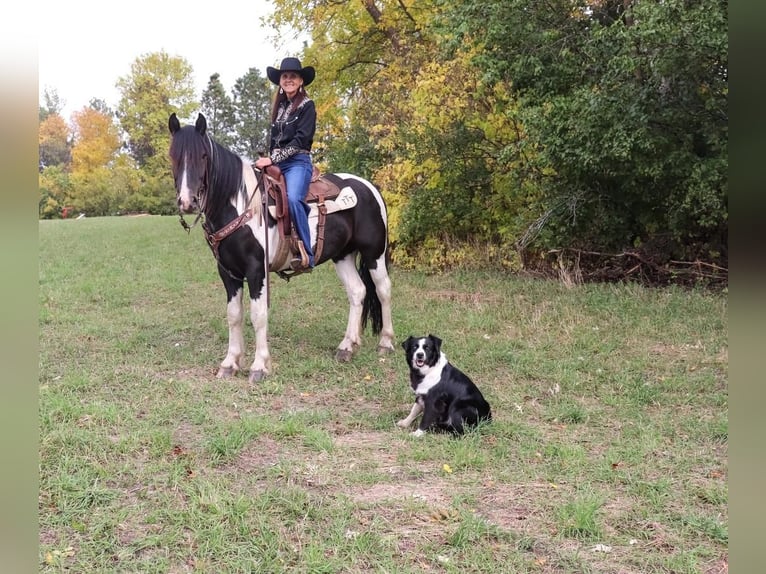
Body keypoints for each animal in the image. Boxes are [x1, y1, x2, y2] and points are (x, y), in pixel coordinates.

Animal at [168, 112, 396, 382]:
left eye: (203, 155)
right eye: (173, 155)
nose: (187, 202)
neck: (242, 204)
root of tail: (370, 187)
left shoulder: (256, 270)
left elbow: (258, 316)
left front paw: (259, 366)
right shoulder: (228, 272)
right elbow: (234, 315)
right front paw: (230, 363)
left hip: (374, 254)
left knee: (383, 290)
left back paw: (386, 343)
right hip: (343, 255)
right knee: (357, 291)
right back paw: (347, 347)